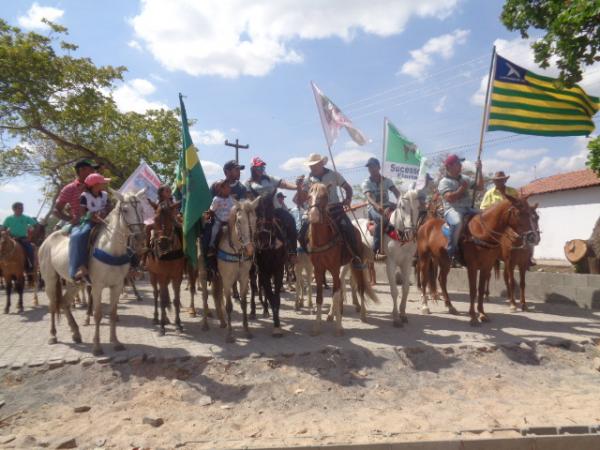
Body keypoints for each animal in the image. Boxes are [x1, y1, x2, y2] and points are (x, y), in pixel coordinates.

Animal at [39, 188, 146, 354]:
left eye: (141, 209)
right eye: (125, 210)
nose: (140, 238)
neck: (111, 248)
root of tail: (46, 241)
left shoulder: (117, 285)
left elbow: (113, 313)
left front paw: (116, 342)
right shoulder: (97, 286)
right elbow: (97, 314)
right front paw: (97, 346)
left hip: (74, 283)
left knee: (64, 302)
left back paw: (76, 333)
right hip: (50, 280)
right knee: (53, 305)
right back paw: (53, 335)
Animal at [356, 190, 422, 326]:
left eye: (418, 207)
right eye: (402, 207)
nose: (411, 232)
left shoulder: (407, 263)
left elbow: (405, 289)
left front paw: (403, 314)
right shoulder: (390, 263)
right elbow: (394, 291)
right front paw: (396, 318)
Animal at [418, 196, 540, 324]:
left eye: (535, 216)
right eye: (518, 213)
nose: (533, 237)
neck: (481, 233)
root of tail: (426, 225)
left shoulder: (487, 266)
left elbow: (481, 290)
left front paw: (482, 313)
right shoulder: (473, 266)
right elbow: (473, 290)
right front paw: (473, 316)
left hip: (445, 261)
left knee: (442, 280)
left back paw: (450, 306)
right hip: (424, 258)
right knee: (424, 280)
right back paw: (425, 306)